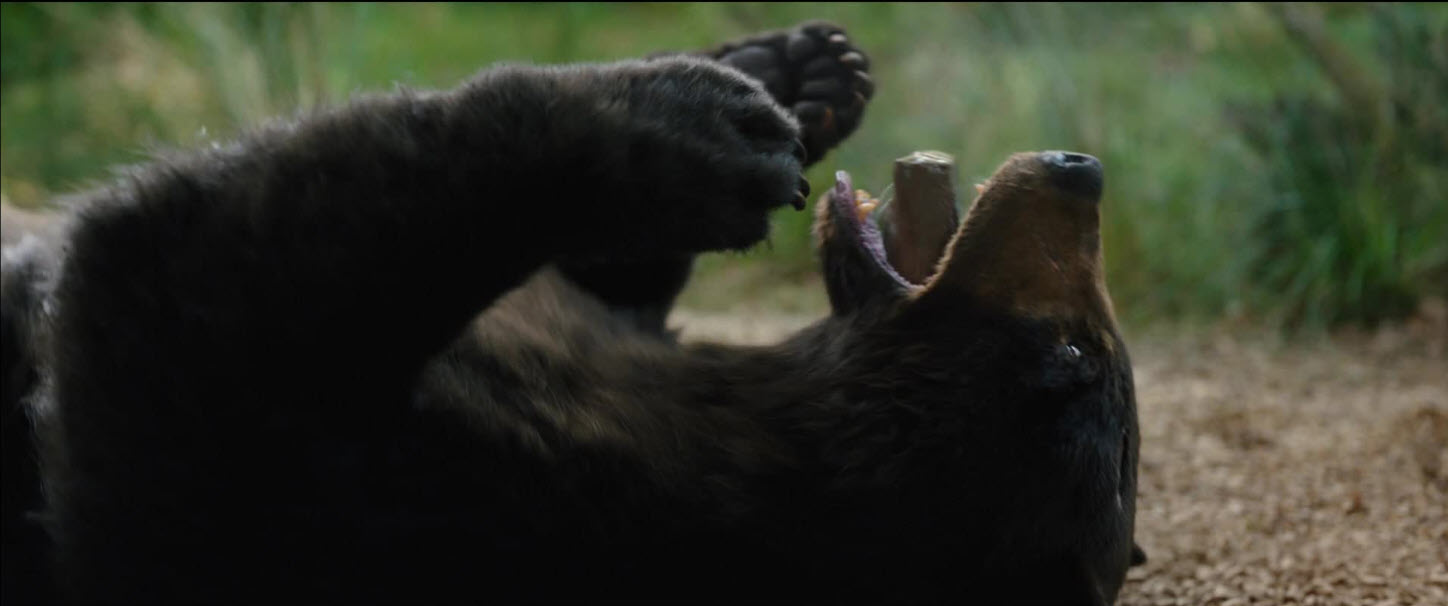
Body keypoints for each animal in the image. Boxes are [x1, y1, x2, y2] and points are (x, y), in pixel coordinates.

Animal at [1, 20, 1140, 606]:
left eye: (1078, 352)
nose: (1081, 169)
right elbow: (609, 288)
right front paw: (791, 74)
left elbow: (201, 265)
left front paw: (684, 135)